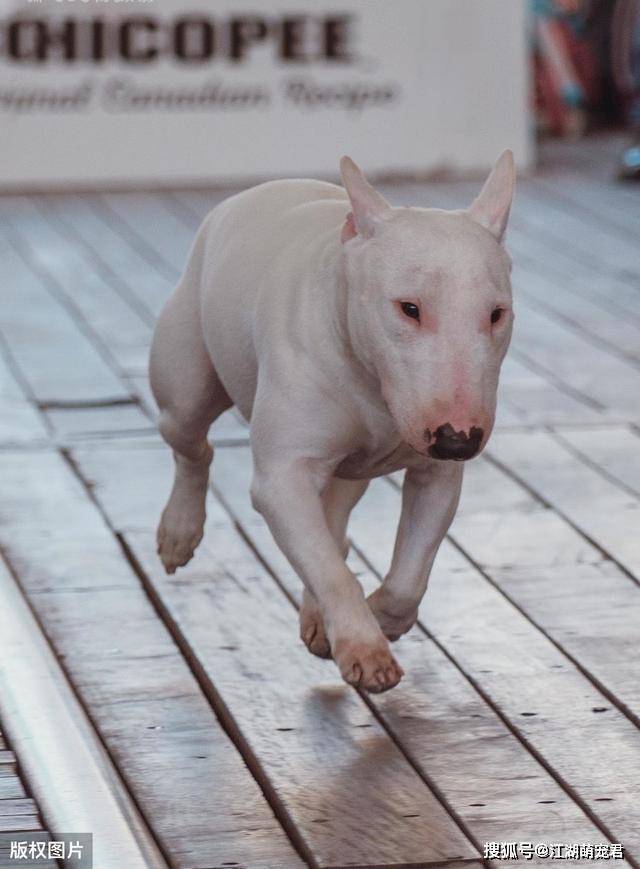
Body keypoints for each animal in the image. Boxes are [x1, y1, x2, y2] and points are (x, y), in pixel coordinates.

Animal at [150, 149, 516, 692]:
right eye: (409, 308)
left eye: (496, 314)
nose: (459, 441)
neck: (372, 386)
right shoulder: (282, 477)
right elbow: (330, 570)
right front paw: (365, 647)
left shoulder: (435, 478)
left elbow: (409, 575)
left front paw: (381, 617)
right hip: (185, 381)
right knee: (192, 445)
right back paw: (179, 532)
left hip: (349, 471)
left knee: (333, 525)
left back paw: (317, 617)